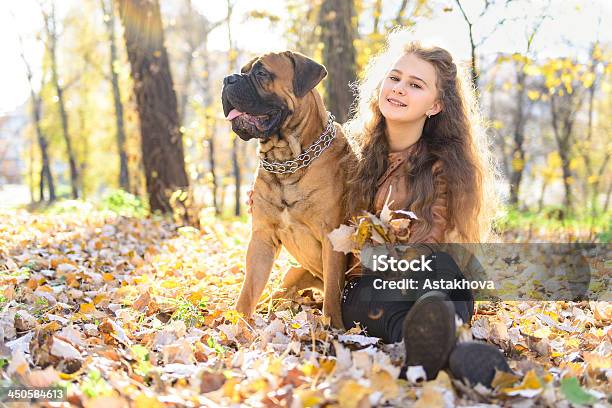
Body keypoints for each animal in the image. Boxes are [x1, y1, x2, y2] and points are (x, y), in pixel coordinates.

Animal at [222, 50, 352, 328]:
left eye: (261, 73)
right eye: (243, 70)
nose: (228, 79)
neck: (287, 163)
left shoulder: (332, 238)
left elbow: (333, 293)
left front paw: (333, 327)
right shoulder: (262, 237)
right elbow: (249, 289)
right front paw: (238, 325)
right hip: (293, 274)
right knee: (275, 294)